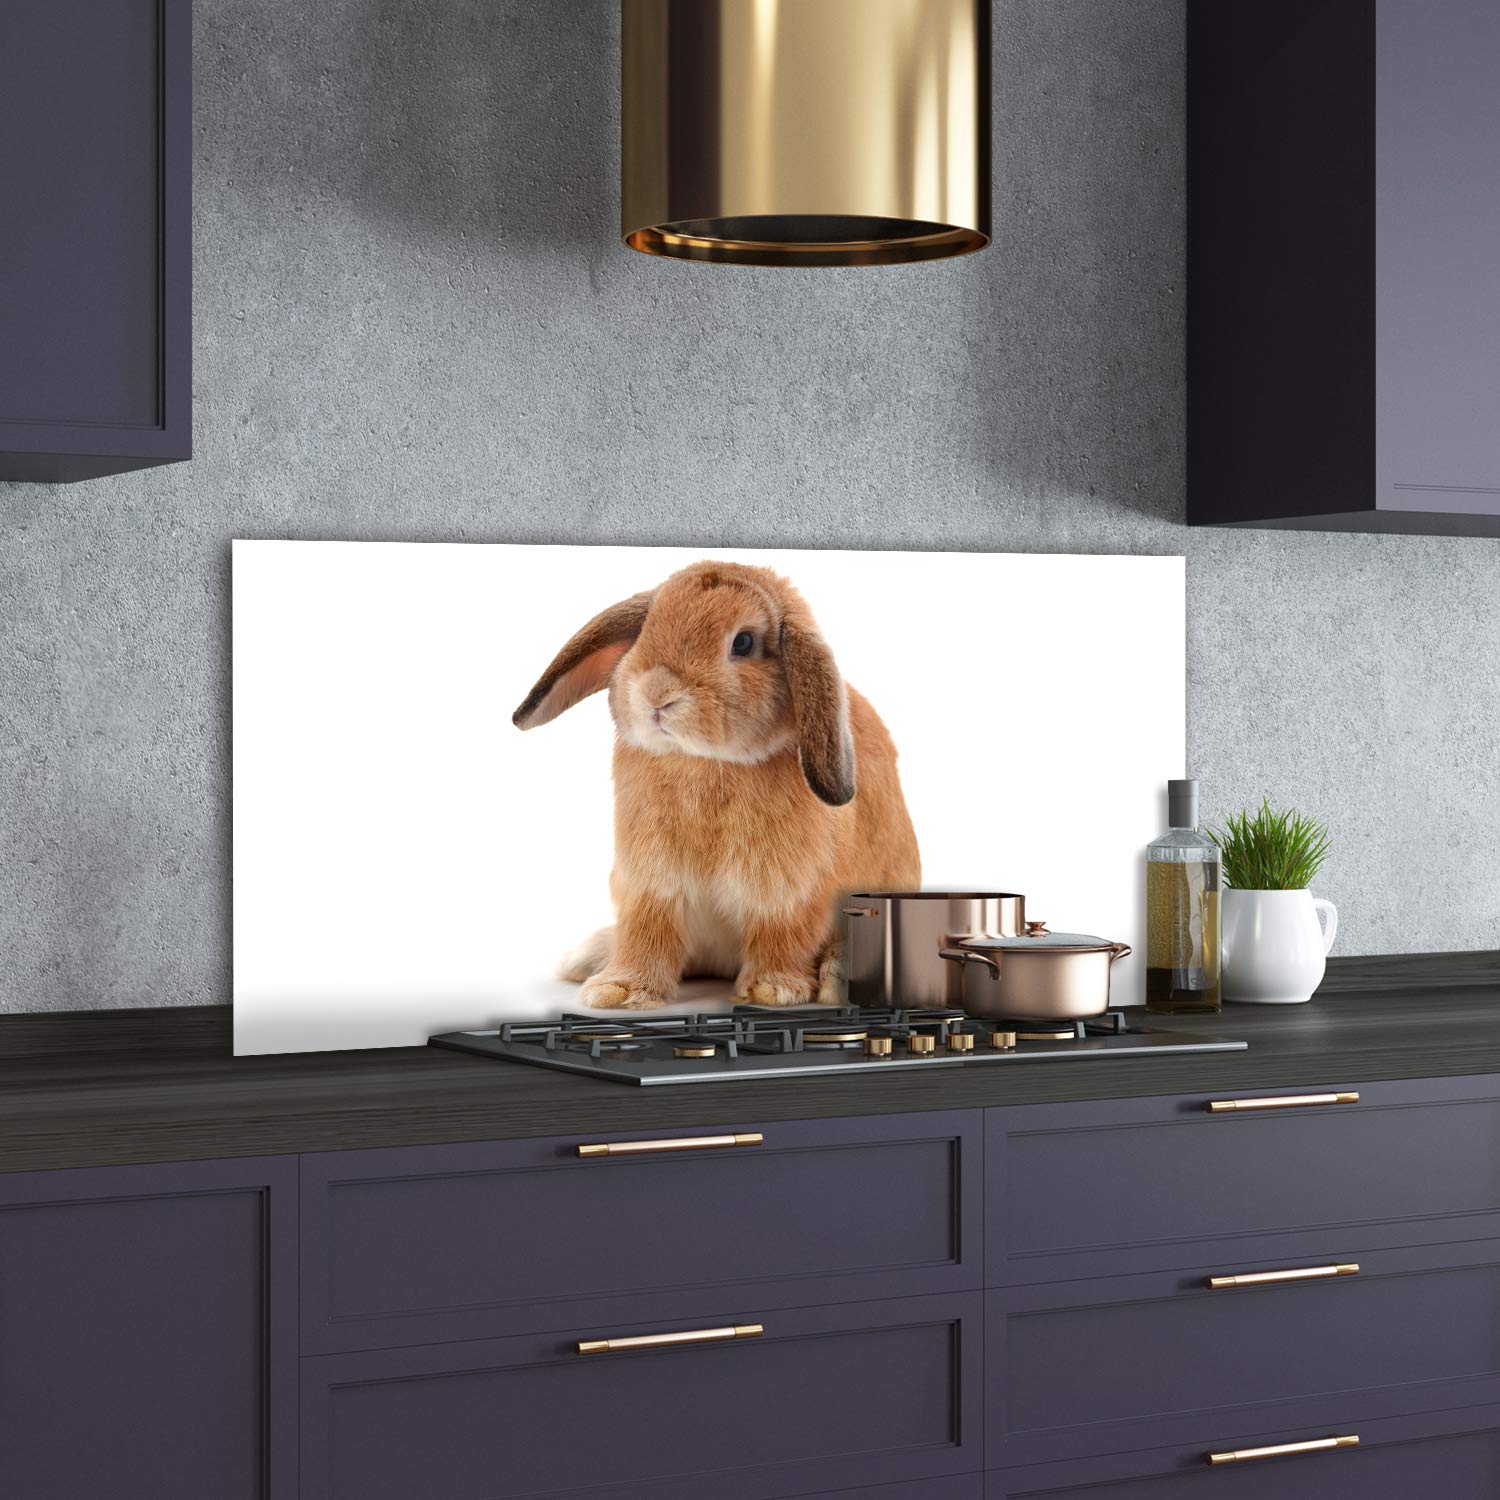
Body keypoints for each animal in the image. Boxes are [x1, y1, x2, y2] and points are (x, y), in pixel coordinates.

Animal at [513, 560, 921, 1009]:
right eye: (646, 628)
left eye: (743, 642)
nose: (657, 693)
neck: (705, 761)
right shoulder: (651, 885)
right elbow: (645, 935)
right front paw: (617, 991)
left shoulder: (788, 890)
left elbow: (782, 934)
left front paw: (770, 990)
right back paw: (584, 958)